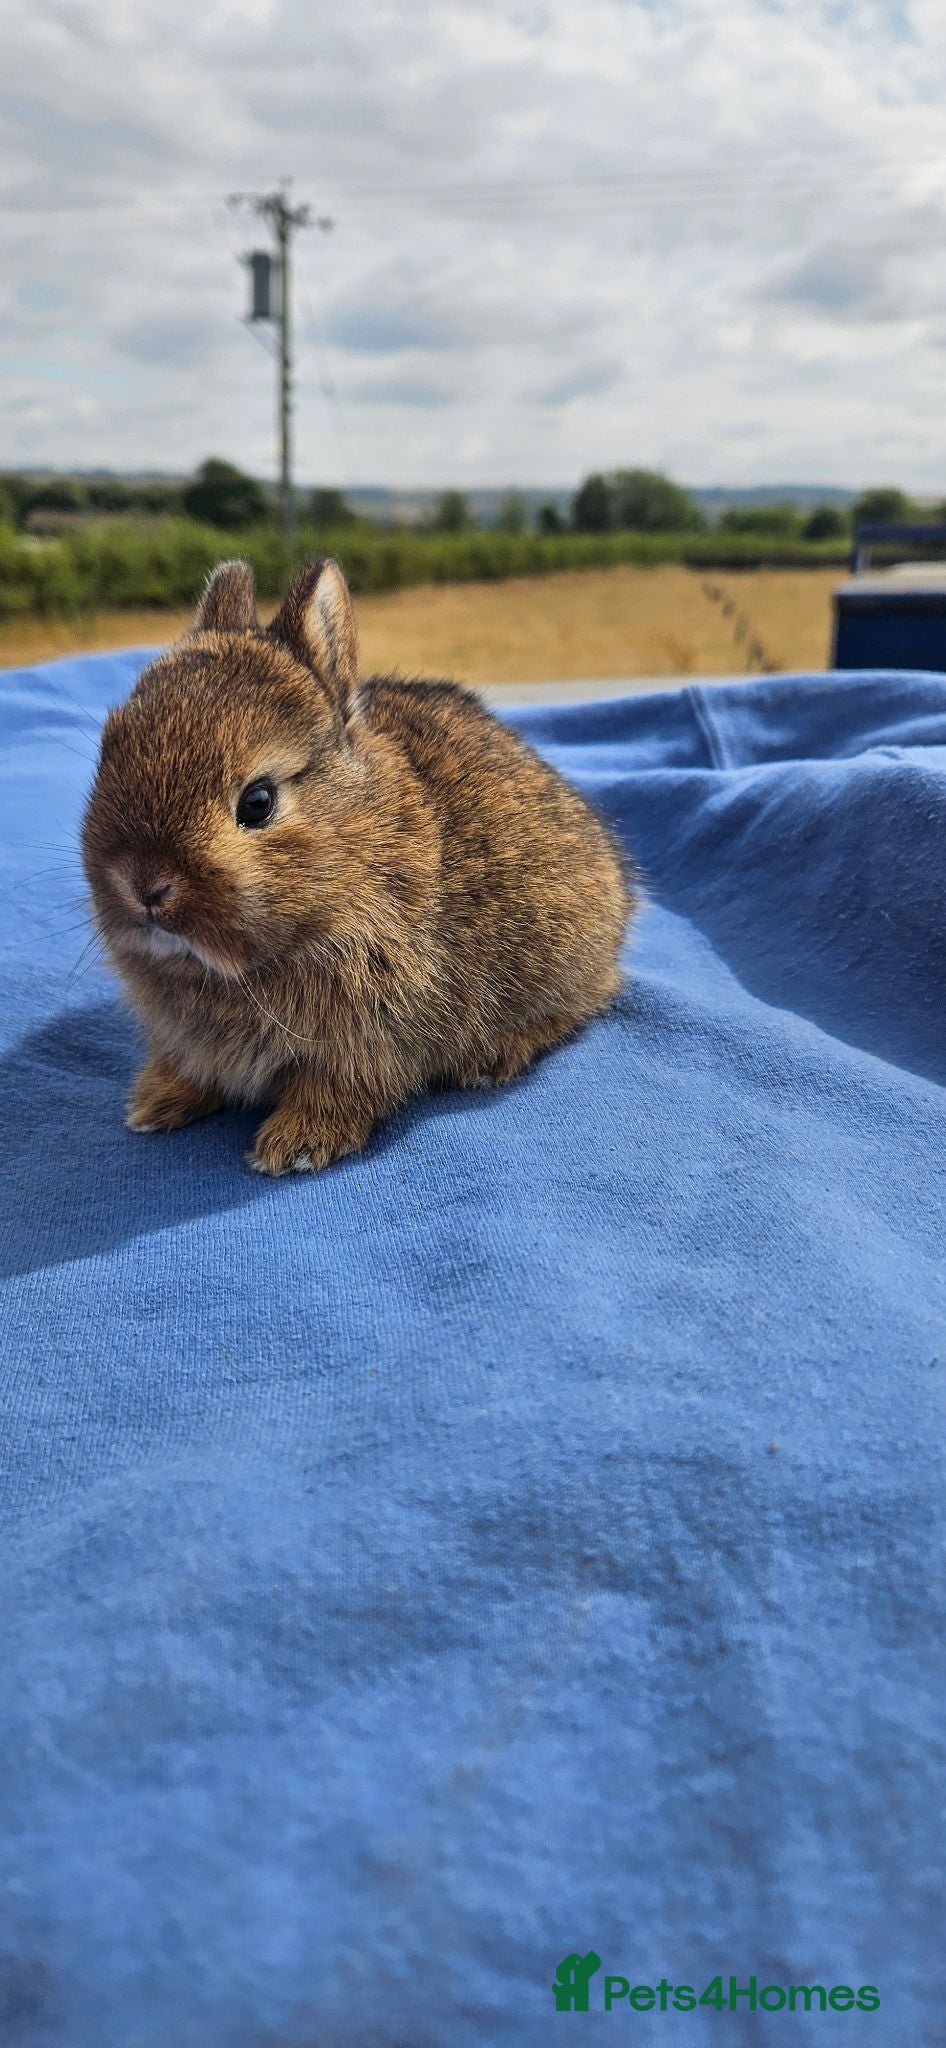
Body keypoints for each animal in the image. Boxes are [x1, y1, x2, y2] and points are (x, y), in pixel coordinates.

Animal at [81, 557, 633, 1174]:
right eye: (109, 752)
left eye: (258, 801)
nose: (143, 885)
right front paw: (154, 1104)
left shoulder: (366, 1042)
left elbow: (338, 1090)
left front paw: (294, 1147)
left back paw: (490, 1059)